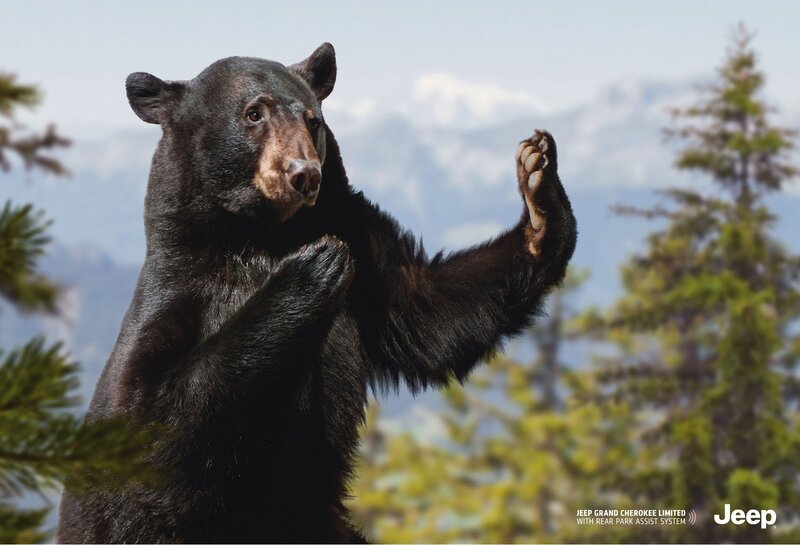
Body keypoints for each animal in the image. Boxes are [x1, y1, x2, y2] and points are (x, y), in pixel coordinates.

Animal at [56, 43, 577, 543]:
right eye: (253, 113)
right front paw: (312, 271)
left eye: (313, 119)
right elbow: (155, 421)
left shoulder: (362, 248)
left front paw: (539, 188)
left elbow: (427, 311)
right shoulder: (178, 295)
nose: (303, 173)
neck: (262, 236)